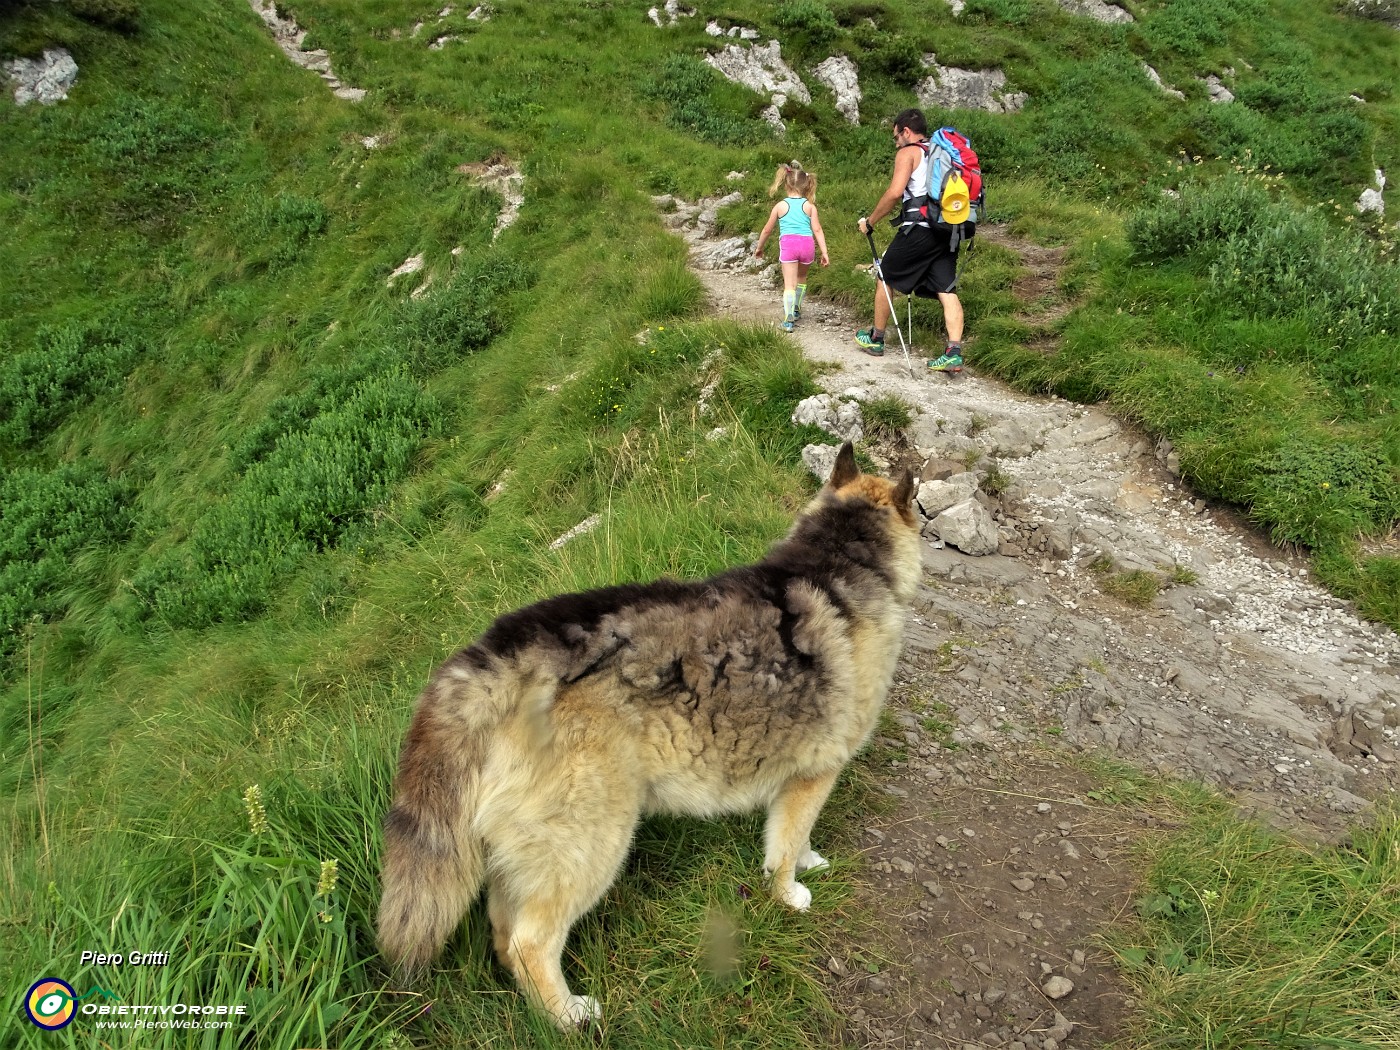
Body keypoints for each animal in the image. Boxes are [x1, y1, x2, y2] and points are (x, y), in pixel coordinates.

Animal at [378, 445, 924, 1030]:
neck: (842, 561)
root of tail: (496, 659)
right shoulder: (814, 775)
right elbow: (784, 847)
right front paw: (790, 893)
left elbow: (792, 839)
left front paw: (807, 861)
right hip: (591, 842)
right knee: (530, 943)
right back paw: (568, 1016)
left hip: (525, 849)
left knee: (505, 932)